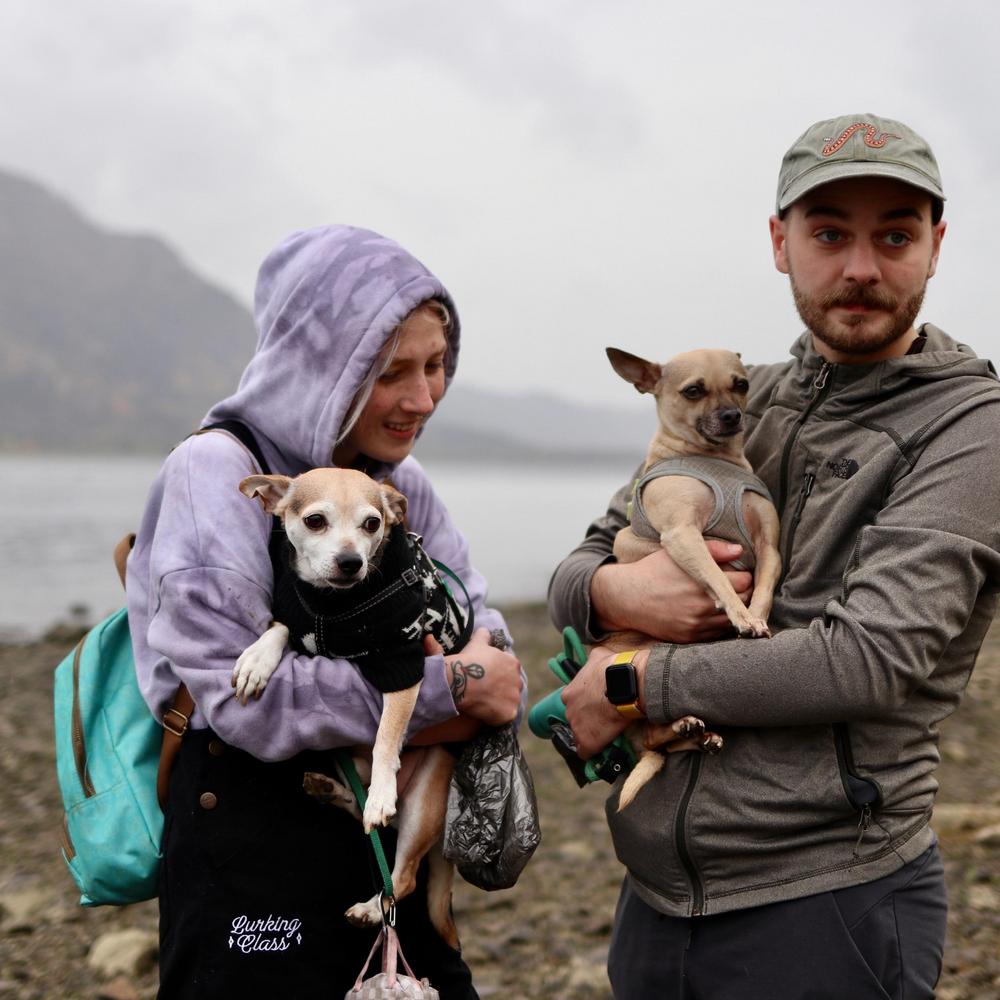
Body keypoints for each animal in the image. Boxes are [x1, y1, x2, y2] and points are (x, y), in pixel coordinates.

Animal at [232, 467, 473, 948]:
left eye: (372, 523)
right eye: (315, 520)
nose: (350, 562)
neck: (334, 608)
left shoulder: (403, 669)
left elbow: (385, 738)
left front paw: (381, 792)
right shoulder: (299, 625)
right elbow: (279, 629)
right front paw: (257, 659)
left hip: (424, 800)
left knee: (403, 876)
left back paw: (370, 906)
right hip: (345, 761)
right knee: (359, 808)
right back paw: (330, 790)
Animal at [605, 347, 782, 809]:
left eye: (741, 384)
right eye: (693, 391)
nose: (732, 416)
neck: (716, 461)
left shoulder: (768, 547)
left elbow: (764, 588)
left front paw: (756, 618)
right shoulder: (684, 535)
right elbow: (718, 578)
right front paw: (740, 616)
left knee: (663, 743)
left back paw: (695, 732)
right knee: (652, 736)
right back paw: (683, 726)